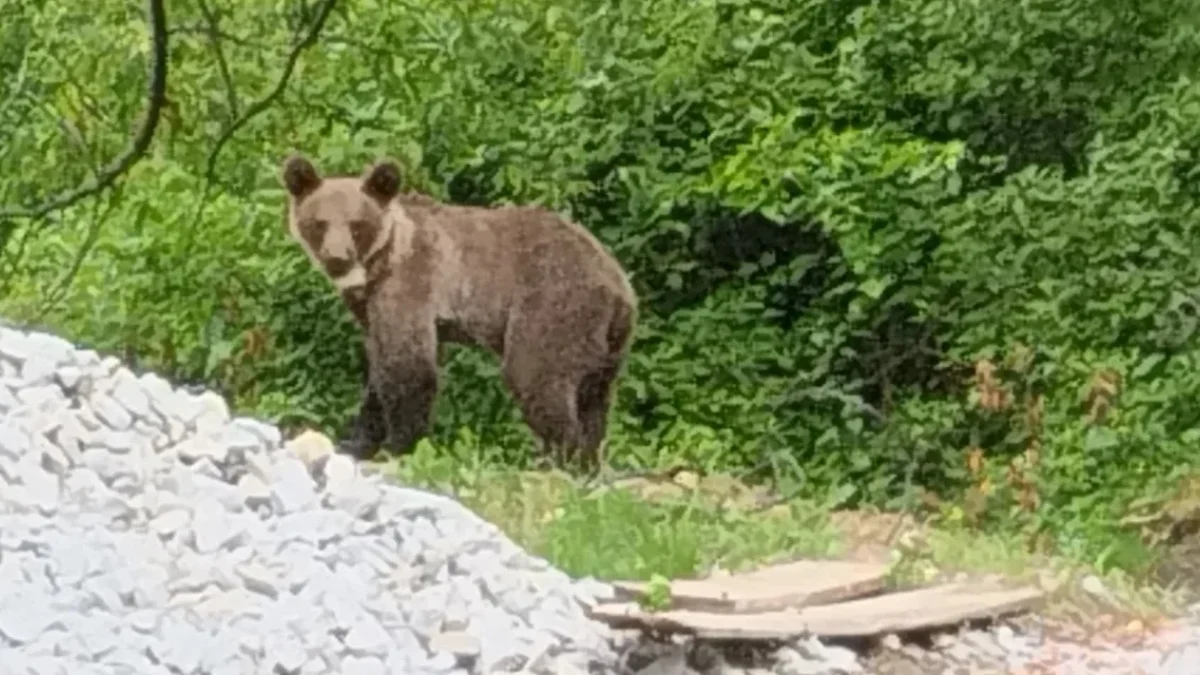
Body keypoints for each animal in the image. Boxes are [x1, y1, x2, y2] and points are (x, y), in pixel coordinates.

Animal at [278, 152, 638, 468]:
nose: (337, 258)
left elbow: (408, 366)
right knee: (594, 397)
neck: (379, 266)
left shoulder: (412, 285)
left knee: (536, 374)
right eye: (320, 223)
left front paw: (397, 446)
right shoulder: (373, 309)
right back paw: (588, 460)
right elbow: (379, 370)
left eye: (356, 224)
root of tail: (618, 284)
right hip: (608, 343)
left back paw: (562, 459)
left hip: (554, 303)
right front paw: (357, 442)